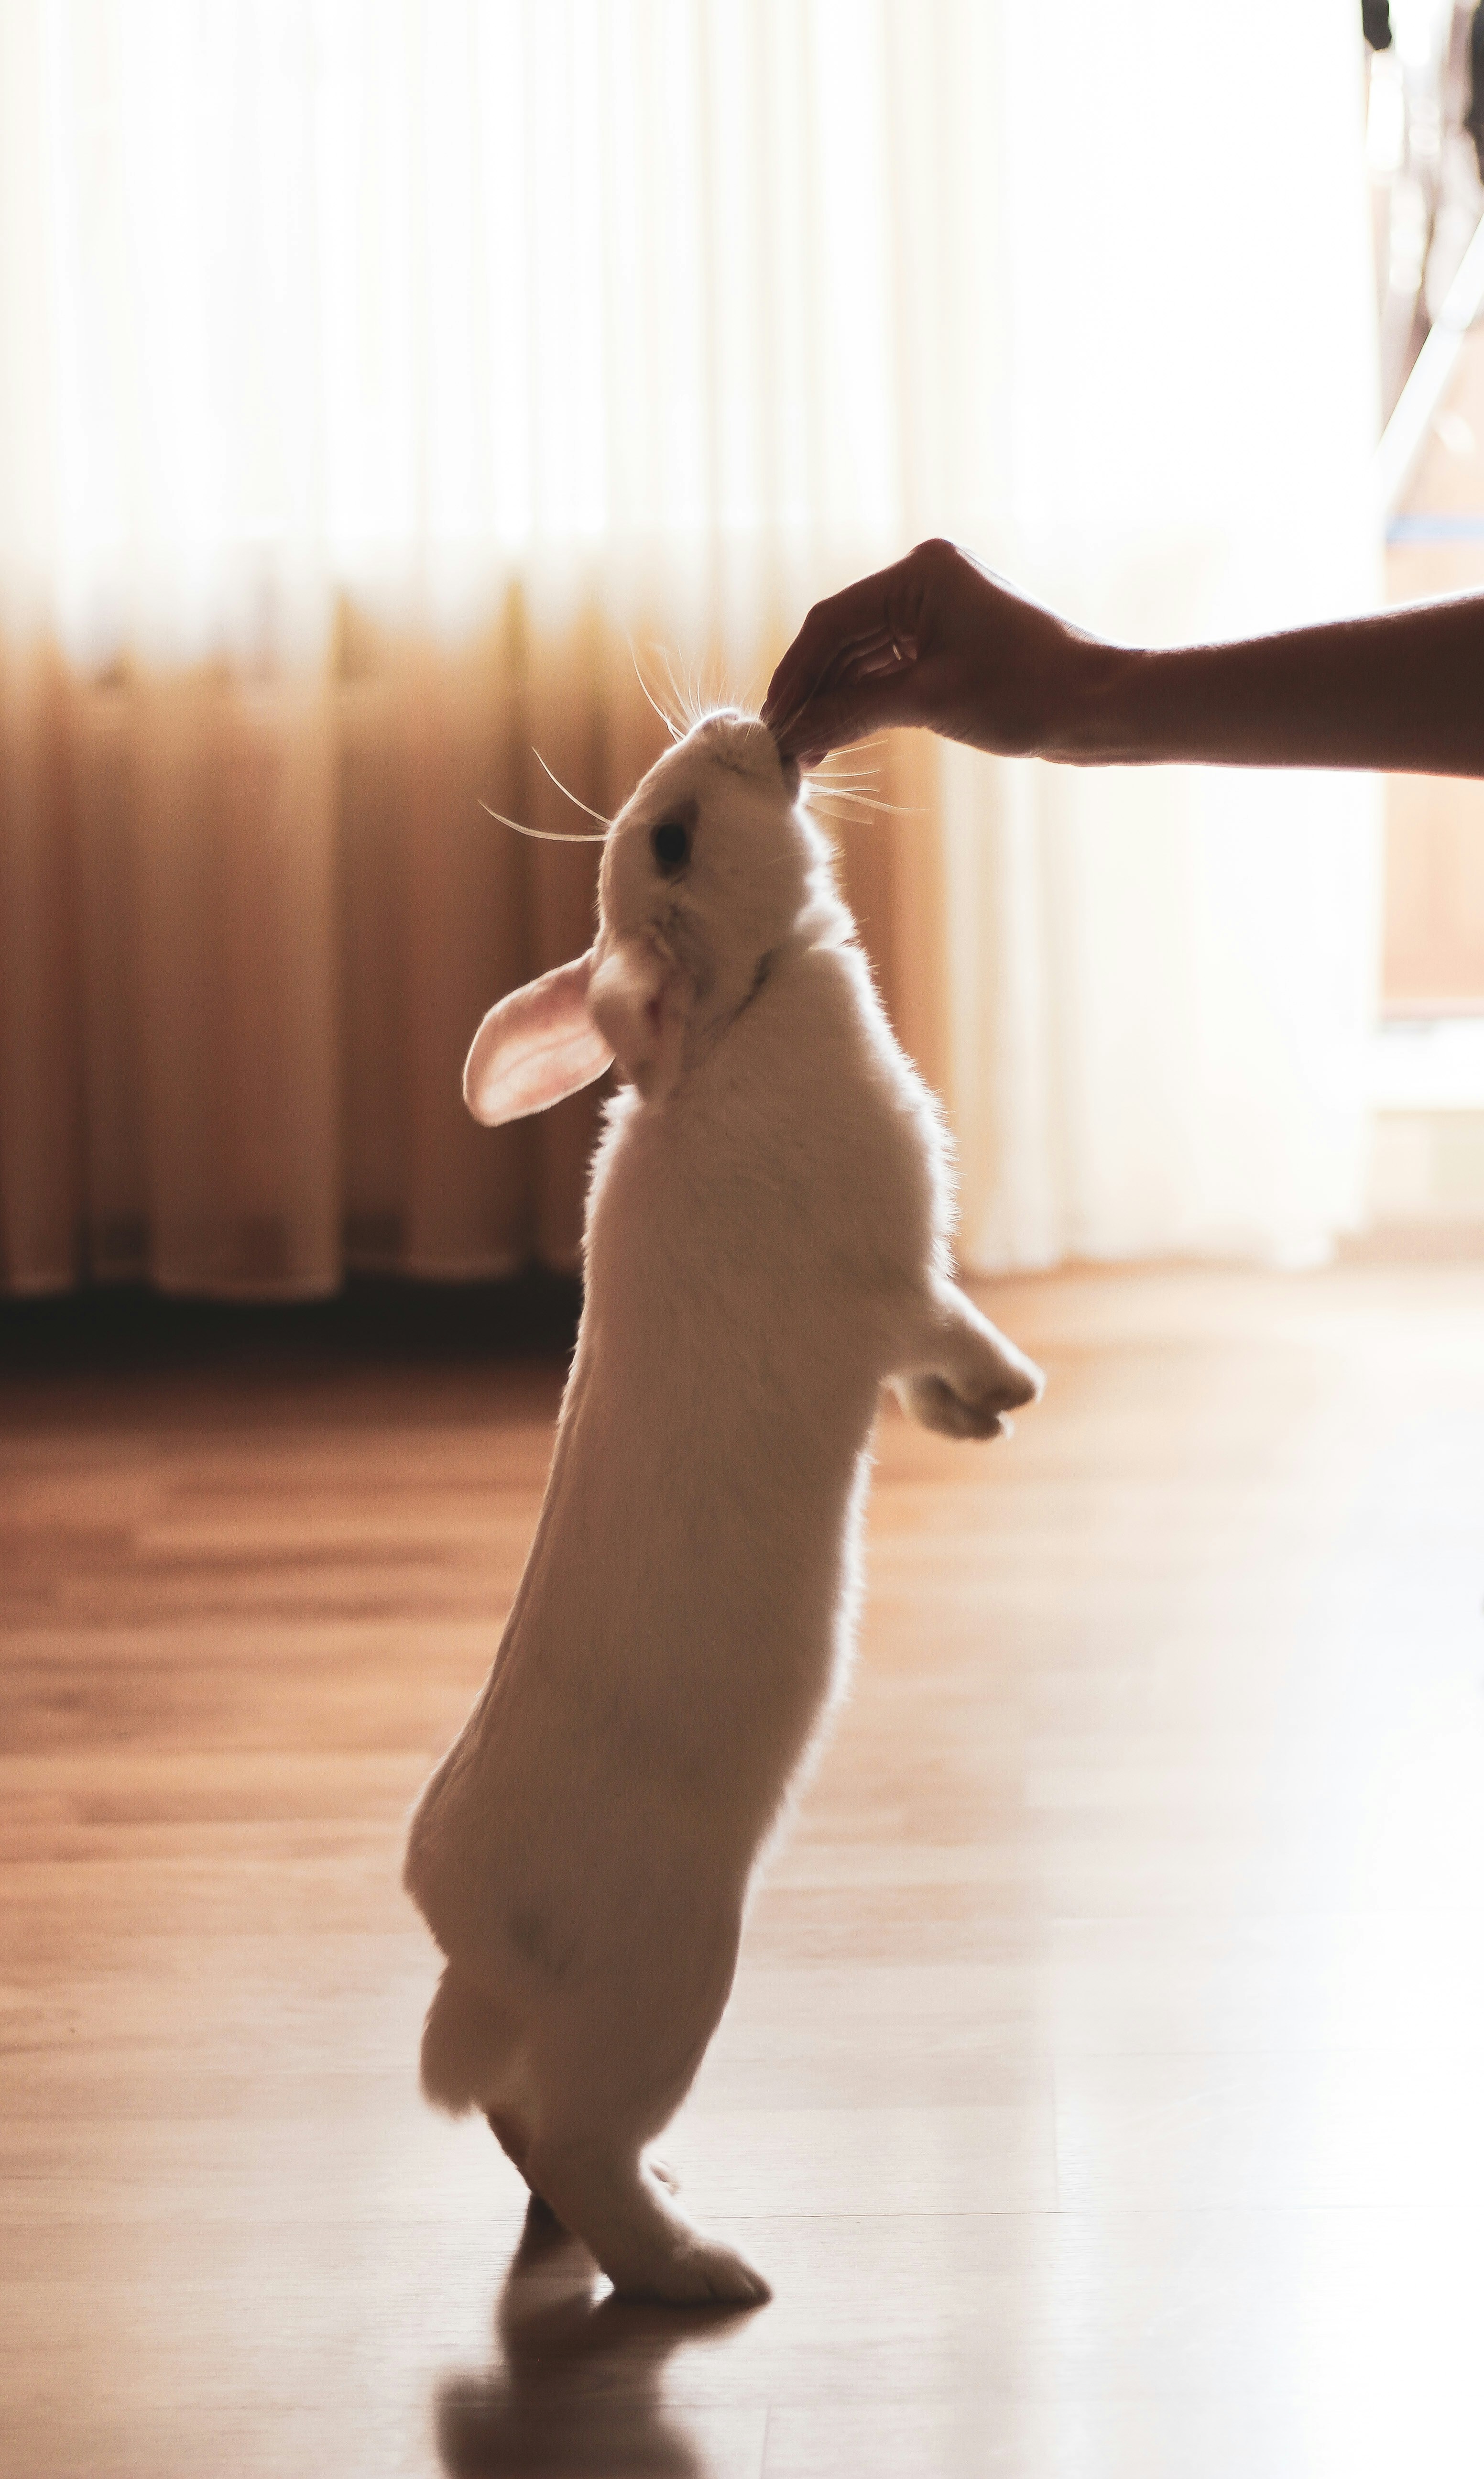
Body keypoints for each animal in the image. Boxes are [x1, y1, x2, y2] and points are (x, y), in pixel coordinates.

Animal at [403, 710, 1043, 2305]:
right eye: (675, 838)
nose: (733, 723)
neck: (743, 1014)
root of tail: (468, 1939)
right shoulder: (895, 1279)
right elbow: (946, 1324)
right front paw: (1009, 1389)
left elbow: (923, 1375)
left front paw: (970, 1420)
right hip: (675, 1983)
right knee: (574, 2140)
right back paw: (702, 2273)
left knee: (522, 2126)